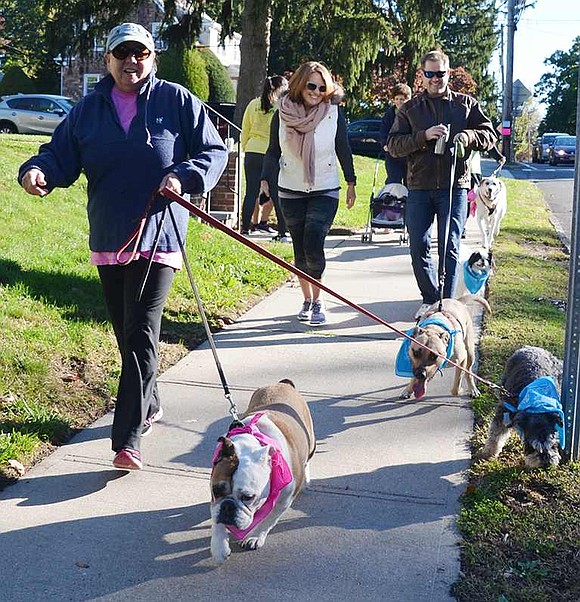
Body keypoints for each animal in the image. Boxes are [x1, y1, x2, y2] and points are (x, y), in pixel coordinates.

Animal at [211, 380, 314, 564]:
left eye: (248, 497)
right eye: (216, 490)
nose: (228, 507)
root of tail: (283, 383)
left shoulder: (284, 500)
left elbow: (269, 519)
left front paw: (255, 536)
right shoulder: (215, 499)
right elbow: (216, 518)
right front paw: (219, 547)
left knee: (307, 460)